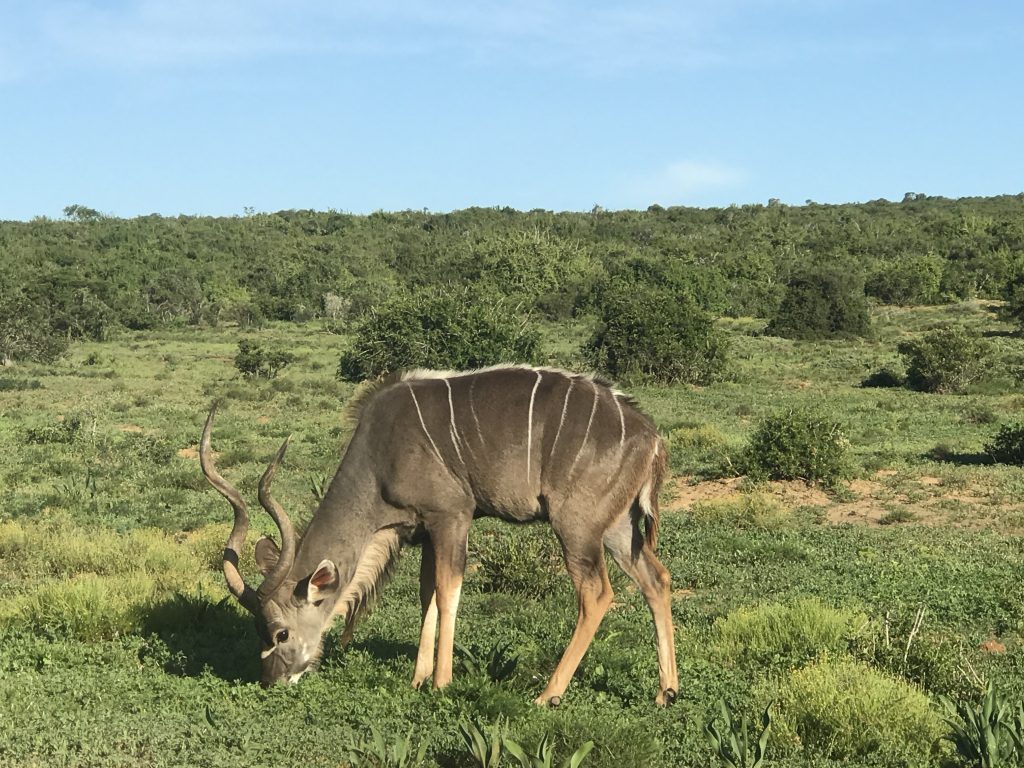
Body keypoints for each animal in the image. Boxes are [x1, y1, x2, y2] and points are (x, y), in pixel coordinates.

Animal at [200, 366, 679, 708]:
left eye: (280, 633)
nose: (272, 681)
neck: (381, 454)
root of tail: (651, 436)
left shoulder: (452, 517)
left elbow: (449, 591)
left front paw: (441, 682)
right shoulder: (426, 530)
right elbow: (427, 594)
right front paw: (417, 678)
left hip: (575, 527)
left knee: (597, 593)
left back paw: (548, 695)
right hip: (616, 529)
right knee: (656, 578)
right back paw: (666, 692)